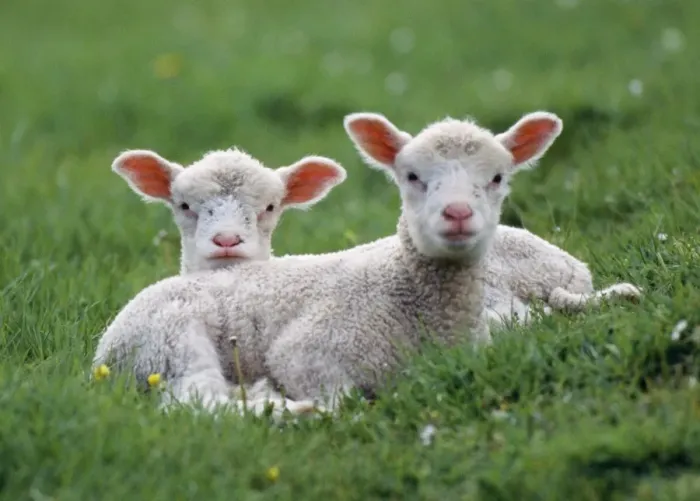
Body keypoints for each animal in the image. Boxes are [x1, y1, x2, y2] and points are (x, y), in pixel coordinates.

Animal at [92, 109, 565, 416]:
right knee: (196, 400)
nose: (458, 213)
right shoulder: (307, 352)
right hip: (170, 343)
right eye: (411, 176)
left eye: (498, 178)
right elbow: (341, 400)